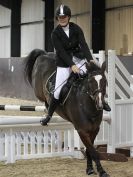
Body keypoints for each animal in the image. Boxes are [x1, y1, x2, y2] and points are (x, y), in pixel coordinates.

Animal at [23, 48, 110, 177]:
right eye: (90, 81)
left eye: (104, 81)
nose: (99, 104)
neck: (88, 106)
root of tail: (44, 54)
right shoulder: (81, 130)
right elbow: (93, 151)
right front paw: (102, 171)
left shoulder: (94, 129)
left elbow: (90, 150)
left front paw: (90, 169)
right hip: (38, 91)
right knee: (47, 98)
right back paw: (47, 114)